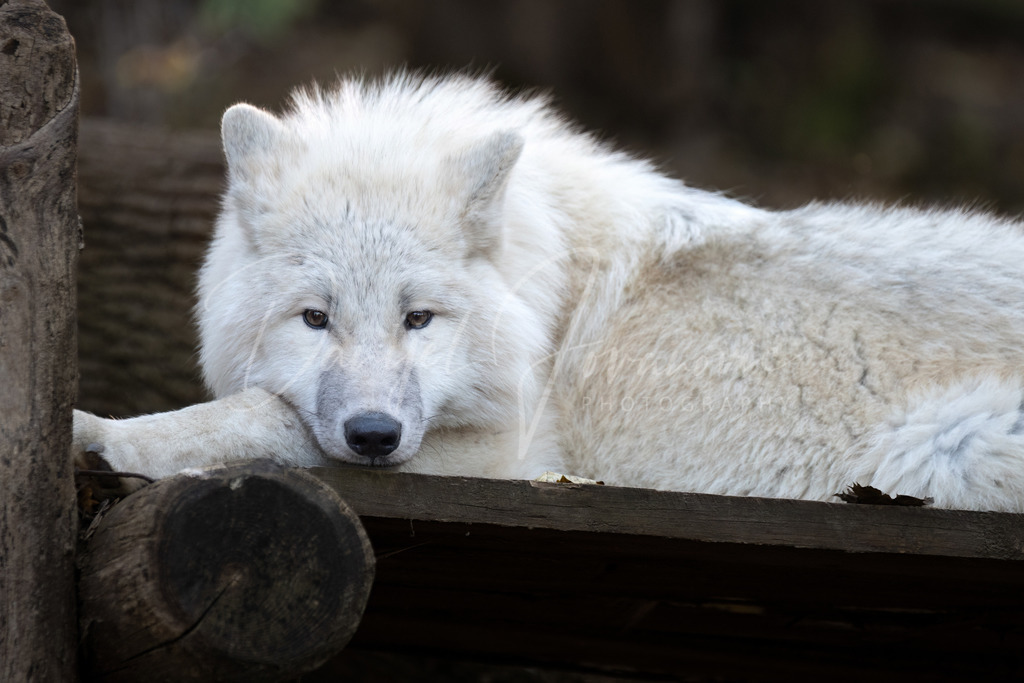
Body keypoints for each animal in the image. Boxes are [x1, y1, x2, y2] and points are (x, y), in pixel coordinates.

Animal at [73, 72, 1024, 511]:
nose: (375, 436)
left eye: (419, 319)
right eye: (316, 318)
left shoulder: (508, 458)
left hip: (946, 448)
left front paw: (104, 434)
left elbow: (251, 419)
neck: (548, 295)